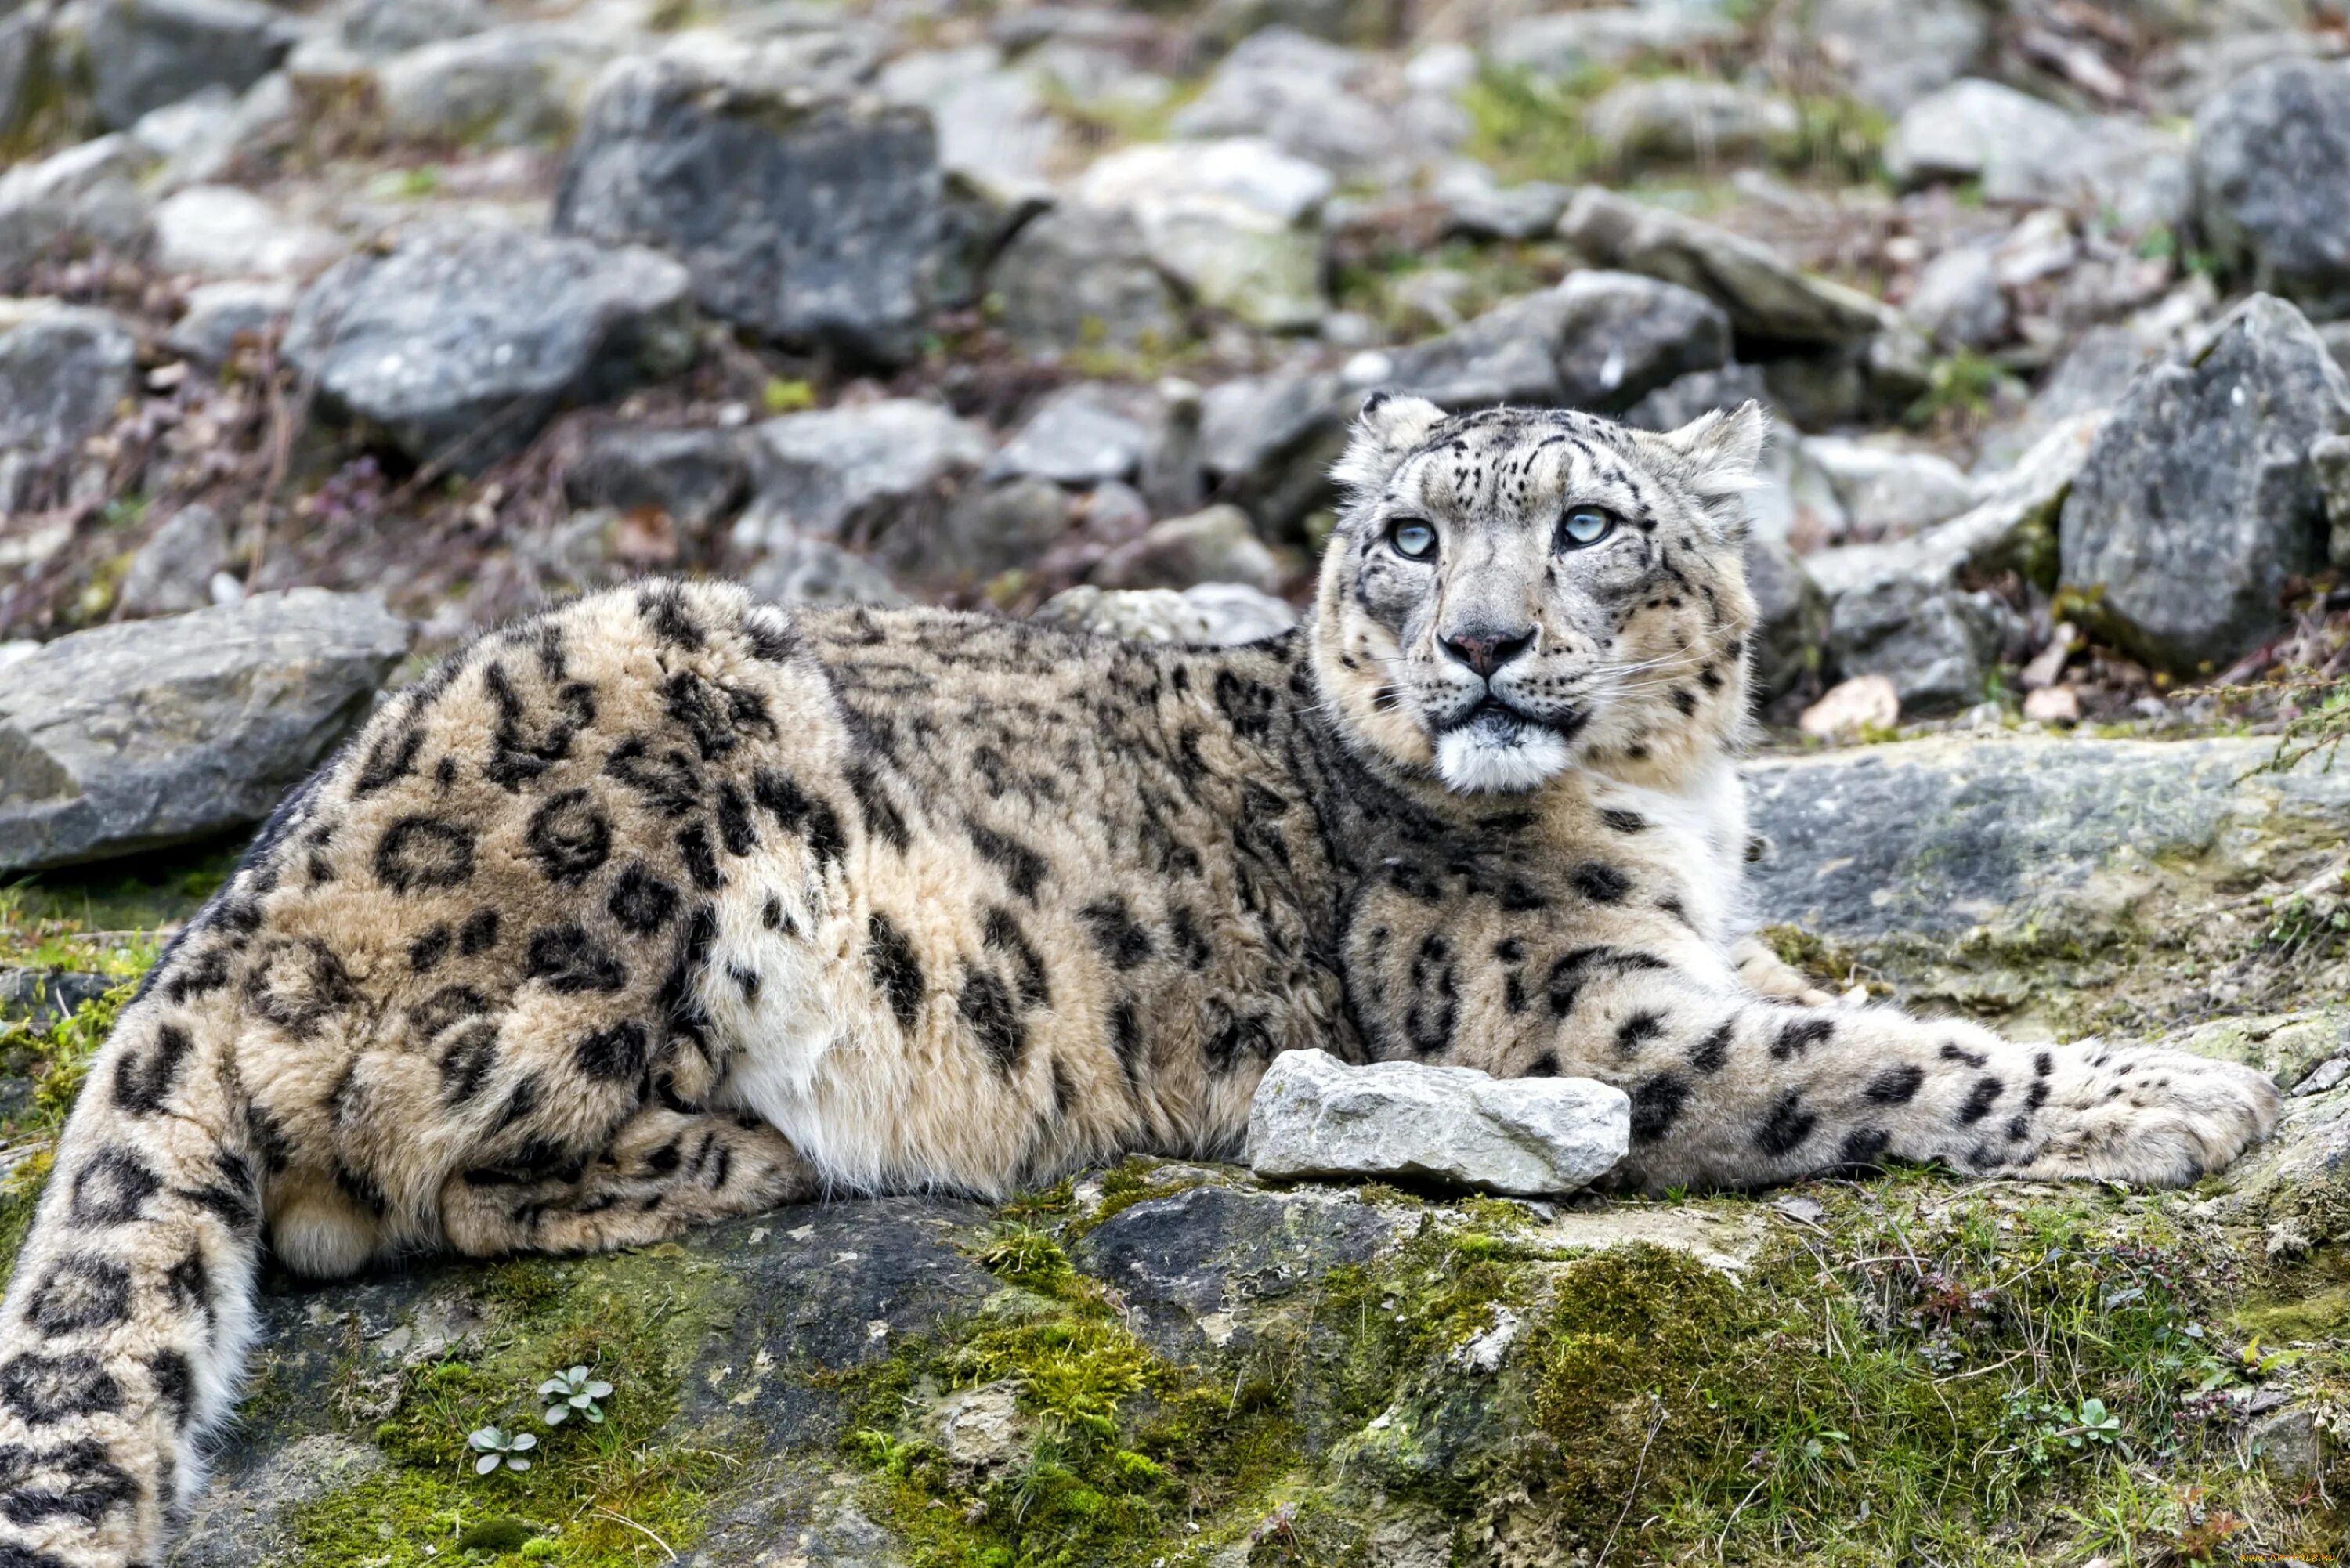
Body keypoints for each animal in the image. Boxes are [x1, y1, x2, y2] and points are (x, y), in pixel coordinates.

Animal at [0, 399, 2275, 1560]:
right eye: (1409, 538)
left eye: (1589, 523)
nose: (1481, 649)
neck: (1671, 805)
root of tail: (237, 910)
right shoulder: (1577, 1016)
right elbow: (1872, 1054)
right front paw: (2182, 1094)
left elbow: (1820, 977)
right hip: (651, 799)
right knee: (443, 1162)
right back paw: (759, 1152)